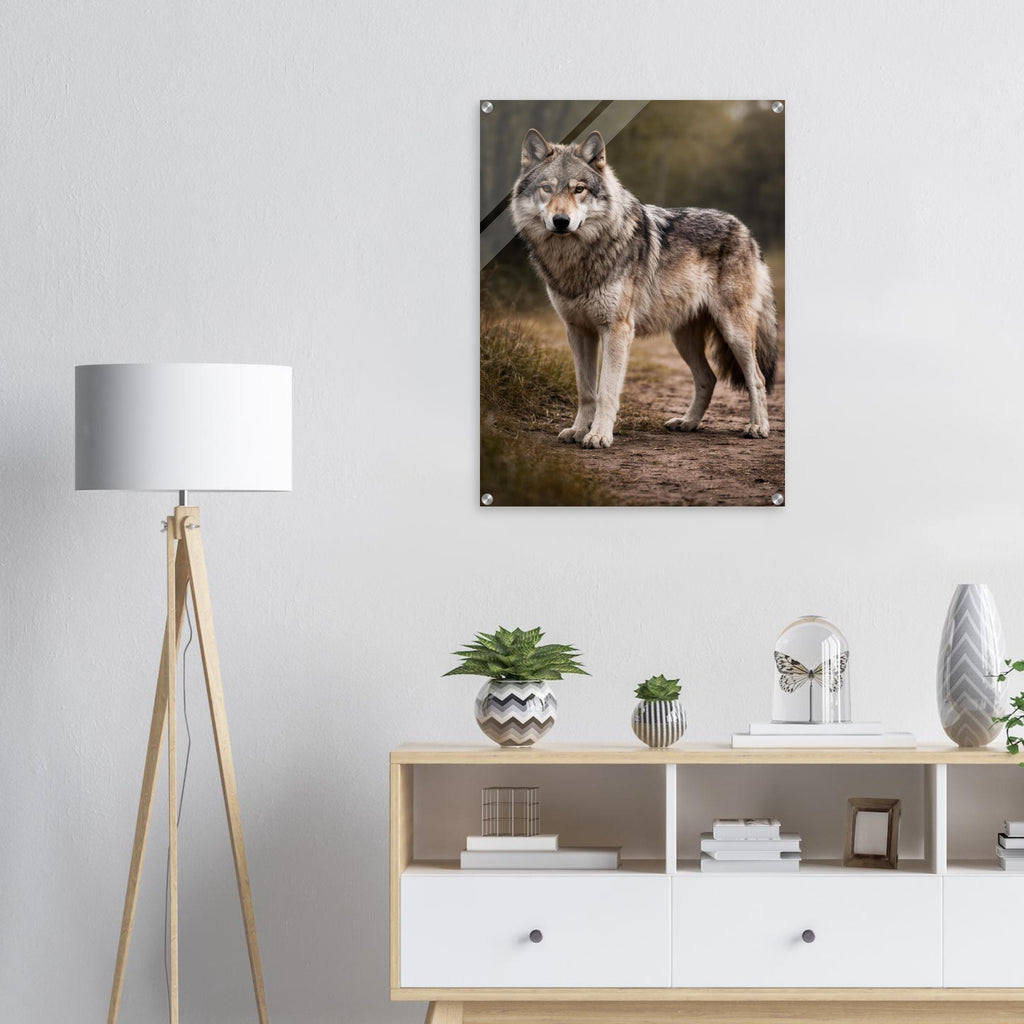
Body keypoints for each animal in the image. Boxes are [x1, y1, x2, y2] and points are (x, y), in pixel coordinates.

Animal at [510, 128, 778, 448]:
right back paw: (687, 423)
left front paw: (598, 435)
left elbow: (606, 391)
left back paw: (758, 427)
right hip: (683, 338)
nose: (561, 221)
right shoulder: (577, 330)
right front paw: (577, 430)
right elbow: (586, 390)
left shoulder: (617, 330)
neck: (577, 258)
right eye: (547, 189)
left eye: (579, 190)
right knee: (708, 378)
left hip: (734, 332)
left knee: (756, 379)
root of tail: (745, 229)